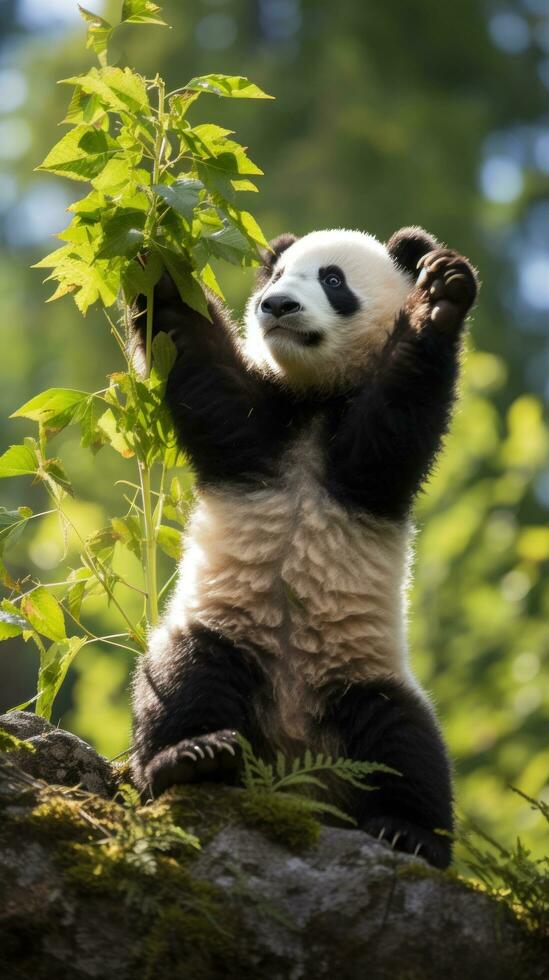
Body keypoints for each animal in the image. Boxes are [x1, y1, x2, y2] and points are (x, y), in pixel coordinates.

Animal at [128, 226, 476, 868]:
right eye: (277, 274)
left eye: (332, 280)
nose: (276, 306)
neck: (315, 399)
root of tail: (295, 764)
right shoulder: (258, 429)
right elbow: (192, 354)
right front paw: (152, 249)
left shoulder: (364, 461)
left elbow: (395, 423)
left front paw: (441, 295)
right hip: (227, 632)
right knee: (182, 679)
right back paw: (191, 759)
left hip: (361, 673)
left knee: (407, 742)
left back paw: (409, 833)